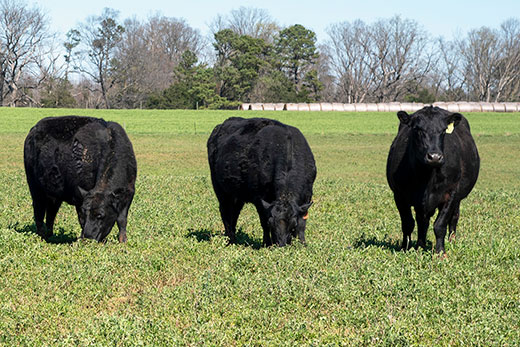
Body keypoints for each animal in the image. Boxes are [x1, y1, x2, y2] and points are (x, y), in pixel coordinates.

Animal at [23, 115, 137, 243]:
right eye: (86, 212)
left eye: (100, 215)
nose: (88, 236)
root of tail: (35, 128)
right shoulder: (79, 197)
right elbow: (81, 220)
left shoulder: (129, 194)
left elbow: (122, 220)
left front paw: (123, 241)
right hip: (35, 187)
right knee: (39, 210)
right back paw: (41, 236)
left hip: (54, 194)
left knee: (51, 213)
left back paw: (49, 235)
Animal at [208, 117, 316, 247]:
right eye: (271, 223)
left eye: (293, 224)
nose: (281, 245)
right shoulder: (259, 199)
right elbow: (263, 221)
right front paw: (267, 243)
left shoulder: (307, 195)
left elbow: (302, 224)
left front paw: (302, 243)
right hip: (221, 190)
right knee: (225, 212)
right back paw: (230, 239)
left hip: (237, 195)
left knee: (234, 213)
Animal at [386, 106, 480, 256]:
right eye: (418, 129)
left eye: (443, 131)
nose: (435, 157)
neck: (426, 177)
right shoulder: (399, 194)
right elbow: (408, 223)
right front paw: (405, 248)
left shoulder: (451, 193)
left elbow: (440, 225)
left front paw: (440, 252)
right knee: (422, 221)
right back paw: (420, 245)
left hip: (457, 198)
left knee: (454, 217)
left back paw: (451, 241)